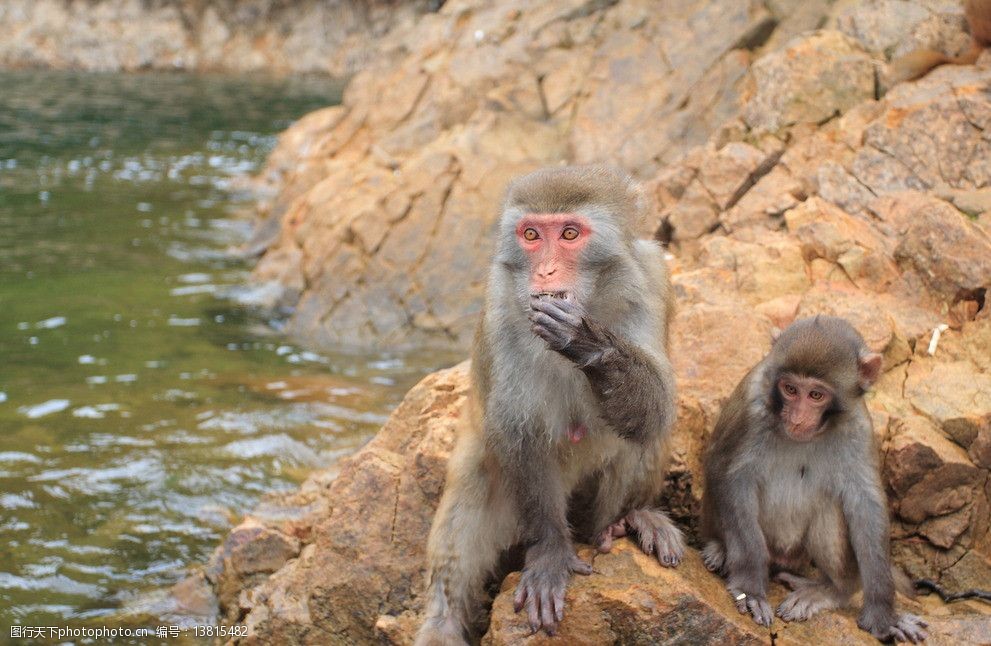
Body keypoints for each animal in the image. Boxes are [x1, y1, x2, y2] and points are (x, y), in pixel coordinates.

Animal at [414, 166, 684, 644]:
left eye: (570, 234)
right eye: (531, 235)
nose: (545, 271)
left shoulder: (651, 280)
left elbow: (655, 408)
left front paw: (588, 341)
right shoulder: (502, 308)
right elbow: (519, 431)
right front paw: (550, 553)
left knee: (640, 434)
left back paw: (626, 520)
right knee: (469, 499)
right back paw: (443, 621)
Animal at [700, 316, 928, 644]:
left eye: (816, 395)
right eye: (790, 389)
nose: (796, 418)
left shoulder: (856, 427)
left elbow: (865, 505)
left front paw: (884, 615)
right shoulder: (751, 410)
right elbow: (730, 476)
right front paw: (750, 587)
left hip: (798, 554)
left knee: (830, 507)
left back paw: (832, 590)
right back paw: (719, 548)